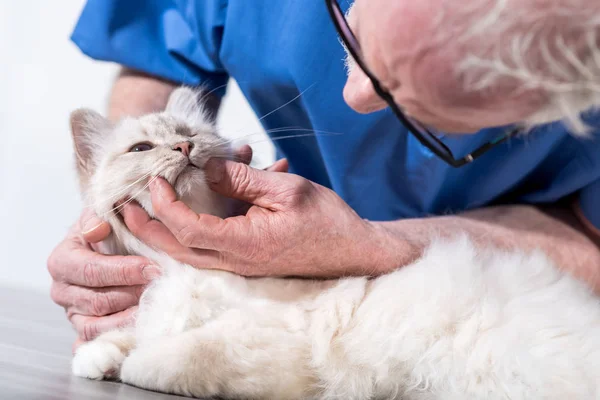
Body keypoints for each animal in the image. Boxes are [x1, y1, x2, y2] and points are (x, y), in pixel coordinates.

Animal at [71, 88, 600, 400]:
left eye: (189, 135)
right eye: (142, 149)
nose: (183, 148)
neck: (180, 265)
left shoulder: (261, 339)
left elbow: (168, 357)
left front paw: (128, 365)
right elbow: (129, 334)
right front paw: (94, 360)